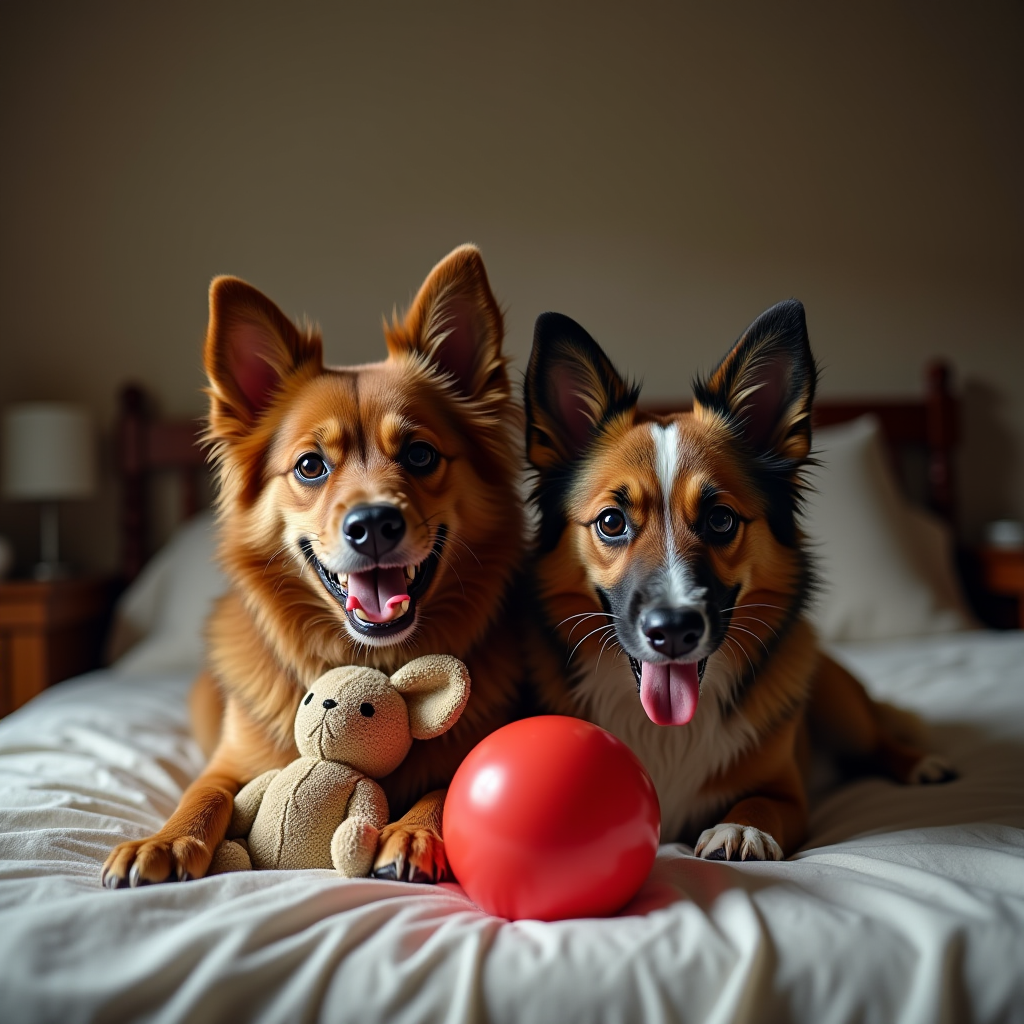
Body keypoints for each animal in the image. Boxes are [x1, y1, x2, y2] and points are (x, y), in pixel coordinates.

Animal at [524, 299, 954, 860]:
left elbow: (760, 802)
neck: (669, 729)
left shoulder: (790, 796)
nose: (673, 631)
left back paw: (920, 763)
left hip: (837, 700)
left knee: (875, 742)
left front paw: (741, 828)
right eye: (611, 522)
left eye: (721, 520)